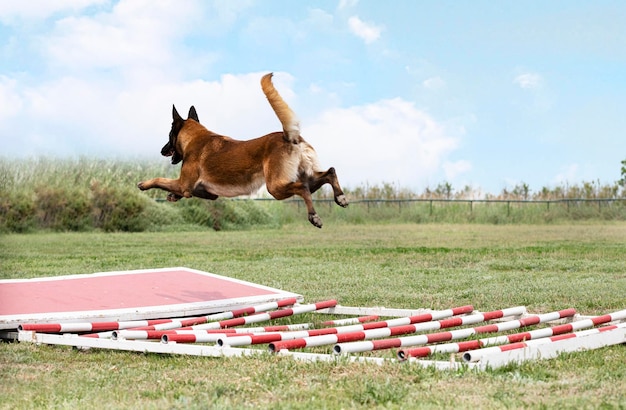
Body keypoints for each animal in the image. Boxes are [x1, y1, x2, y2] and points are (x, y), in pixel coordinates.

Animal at [137, 73, 348, 227]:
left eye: (169, 135)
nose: (162, 150)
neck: (196, 137)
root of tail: (290, 136)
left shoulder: (184, 184)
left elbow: (161, 180)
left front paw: (144, 184)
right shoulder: (208, 193)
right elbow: (174, 187)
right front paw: (172, 195)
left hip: (275, 187)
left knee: (303, 188)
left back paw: (314, 216)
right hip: (304, 175)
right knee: (327, 174)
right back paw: (340, 197)